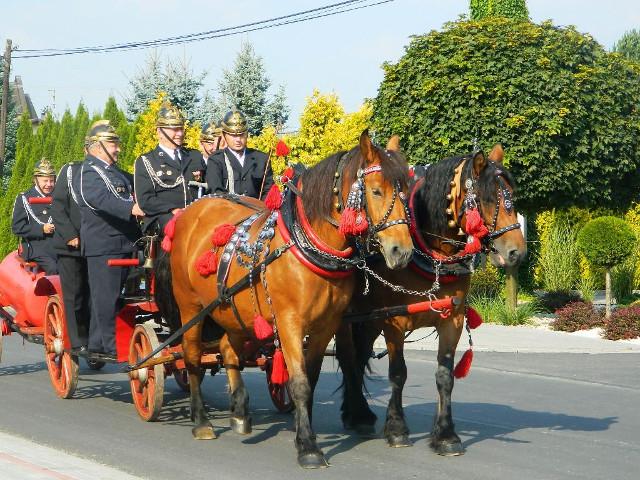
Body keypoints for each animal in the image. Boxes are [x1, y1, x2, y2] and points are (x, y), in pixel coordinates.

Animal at [155, 131, 415, 468]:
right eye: (375, 190)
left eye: (407, 192)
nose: (402, 252)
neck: (307, 243)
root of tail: (188, 214)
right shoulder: (290, 323)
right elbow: (300, 382)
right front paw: (309, 447)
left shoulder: (326, 325)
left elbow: (310, 380)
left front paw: (303, 433)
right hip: (190, 308)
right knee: (192, 358)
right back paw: (200, 421)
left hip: (234, 311)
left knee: (227, 349)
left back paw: (240, 412)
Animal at [335, 144, 527, 454]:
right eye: (485, 199)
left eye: (511, 196)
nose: (516, 253)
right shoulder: (394, 321)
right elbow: (398, 373)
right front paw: (397, 429)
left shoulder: (453, 320)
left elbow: (445, 376)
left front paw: (446, 435)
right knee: (348, 357)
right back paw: (358, 413)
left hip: (369, 319)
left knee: (360, 356)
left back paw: (357, 414)